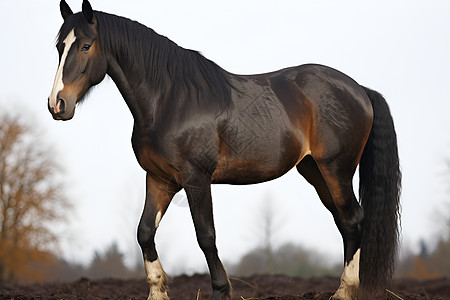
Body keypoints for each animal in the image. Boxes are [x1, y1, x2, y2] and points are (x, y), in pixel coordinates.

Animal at [48, 1, 400, 298]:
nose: (57, 104)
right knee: (344, 221)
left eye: (85, 45)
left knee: (353, 218)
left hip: (336, 169)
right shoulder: (159, 179)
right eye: (59, 46)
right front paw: (157, 290)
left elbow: (206, 235)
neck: (170, 100)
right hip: (316, 171)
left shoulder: (196, 179)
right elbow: (144, 232)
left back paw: (344, 291)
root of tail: (359, 90)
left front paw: (221, 289)